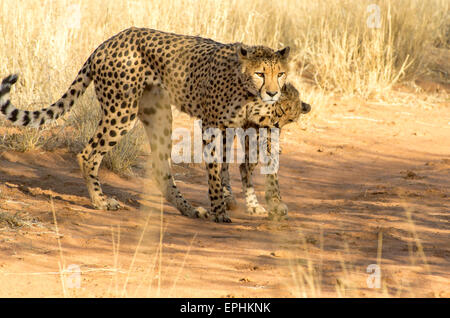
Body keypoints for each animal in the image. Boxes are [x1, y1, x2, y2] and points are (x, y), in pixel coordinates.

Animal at [0, 27, 288, 222]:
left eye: (281, 73)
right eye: (260, 73)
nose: (273, 93)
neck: (246, 88)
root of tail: (109, 41)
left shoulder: (243, 125)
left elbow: (240, 166)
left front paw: (252, 203)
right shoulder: (212, 123)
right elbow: (217, 170)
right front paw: (220, 208)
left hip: (160, 115)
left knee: (161, 167)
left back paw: (189, 209)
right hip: (121, 111)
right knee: (88, 154)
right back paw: (100, 201)